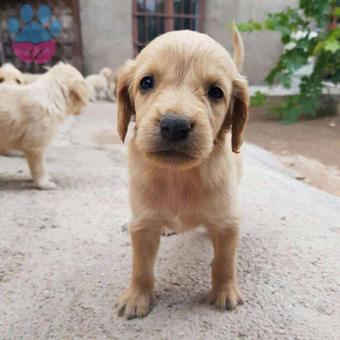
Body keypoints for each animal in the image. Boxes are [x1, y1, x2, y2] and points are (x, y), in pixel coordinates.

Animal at [116, 25, 250, 318]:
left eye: (216, 92)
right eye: (146, 83)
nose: (175, 126)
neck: (178, 177)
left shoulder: (228, 222)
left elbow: (224, 262)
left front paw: (224, 292)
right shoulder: (142, 225)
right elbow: (141, 268)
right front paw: (136, 297)